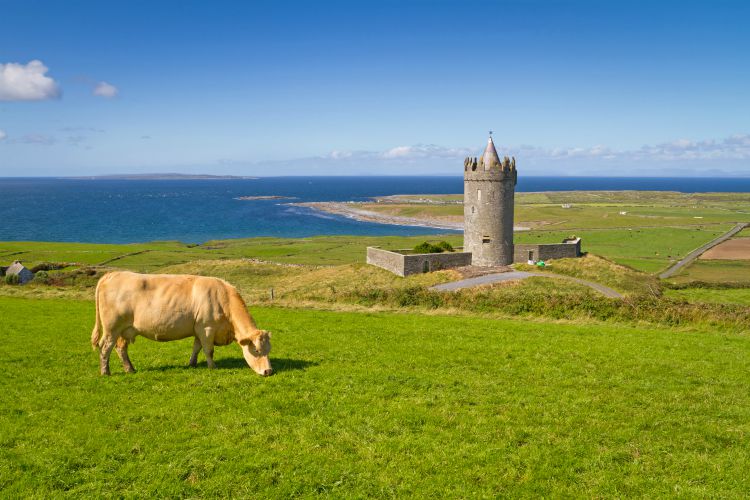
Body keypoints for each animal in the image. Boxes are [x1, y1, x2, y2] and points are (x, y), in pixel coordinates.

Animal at [91, 274, 274, 376]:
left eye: (269, 350)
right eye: (257, 350)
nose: (269, 371)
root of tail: (112, 274)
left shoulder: (199, 329)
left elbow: (196, 348)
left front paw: (192, 364)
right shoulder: (207, 328)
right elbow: (209, 350)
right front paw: (213, 367)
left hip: (125, 330)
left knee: (121, 348)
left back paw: (130, 369)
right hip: (111, 329)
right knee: (105, 347)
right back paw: (105, 372)